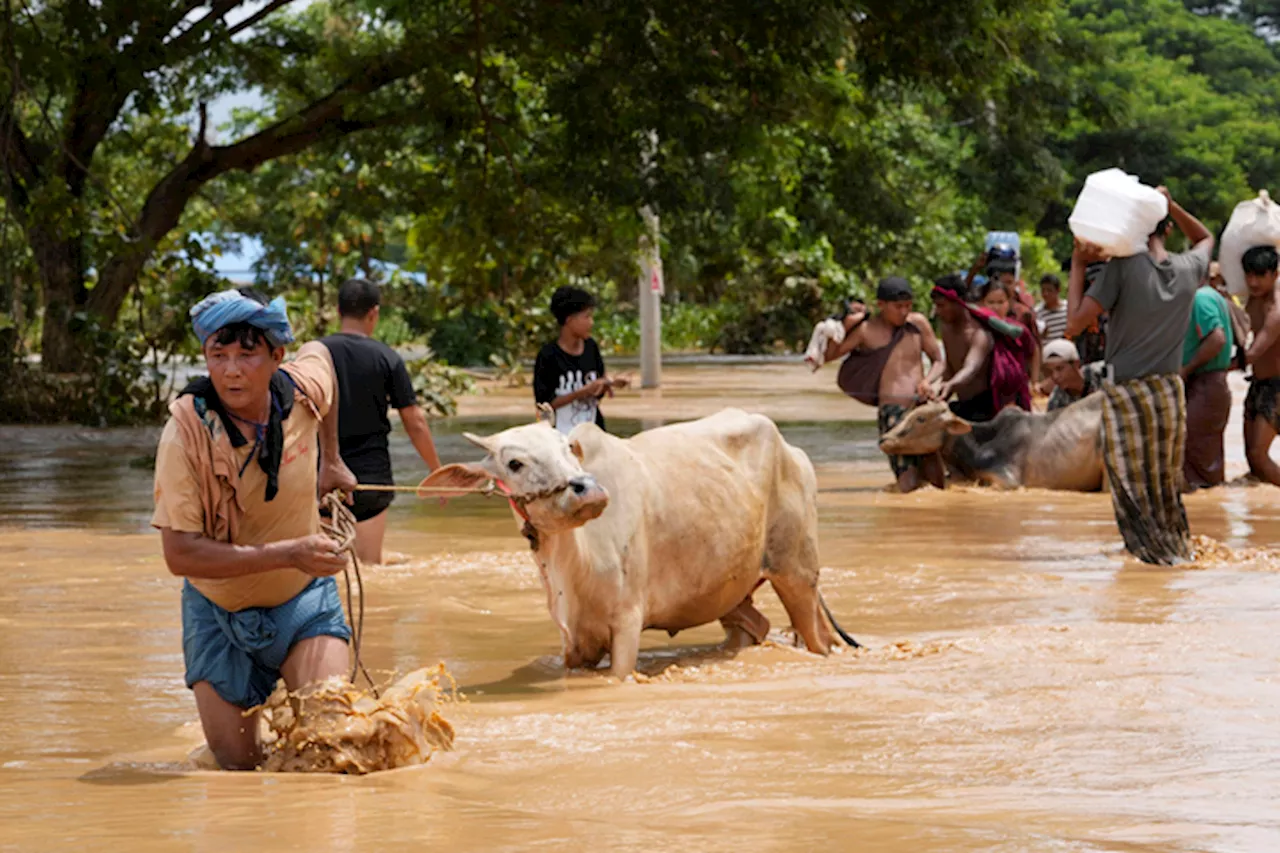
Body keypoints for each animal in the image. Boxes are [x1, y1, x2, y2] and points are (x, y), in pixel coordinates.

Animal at [424, 407, 855, 676]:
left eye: (566, 449)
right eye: (514, 463)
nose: (588, 491)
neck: (573, 565)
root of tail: (793, 452)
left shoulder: (627, 622)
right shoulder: (572, 643)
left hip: (797, 574)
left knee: (818, 638)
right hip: (732, 590)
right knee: (756, 626)